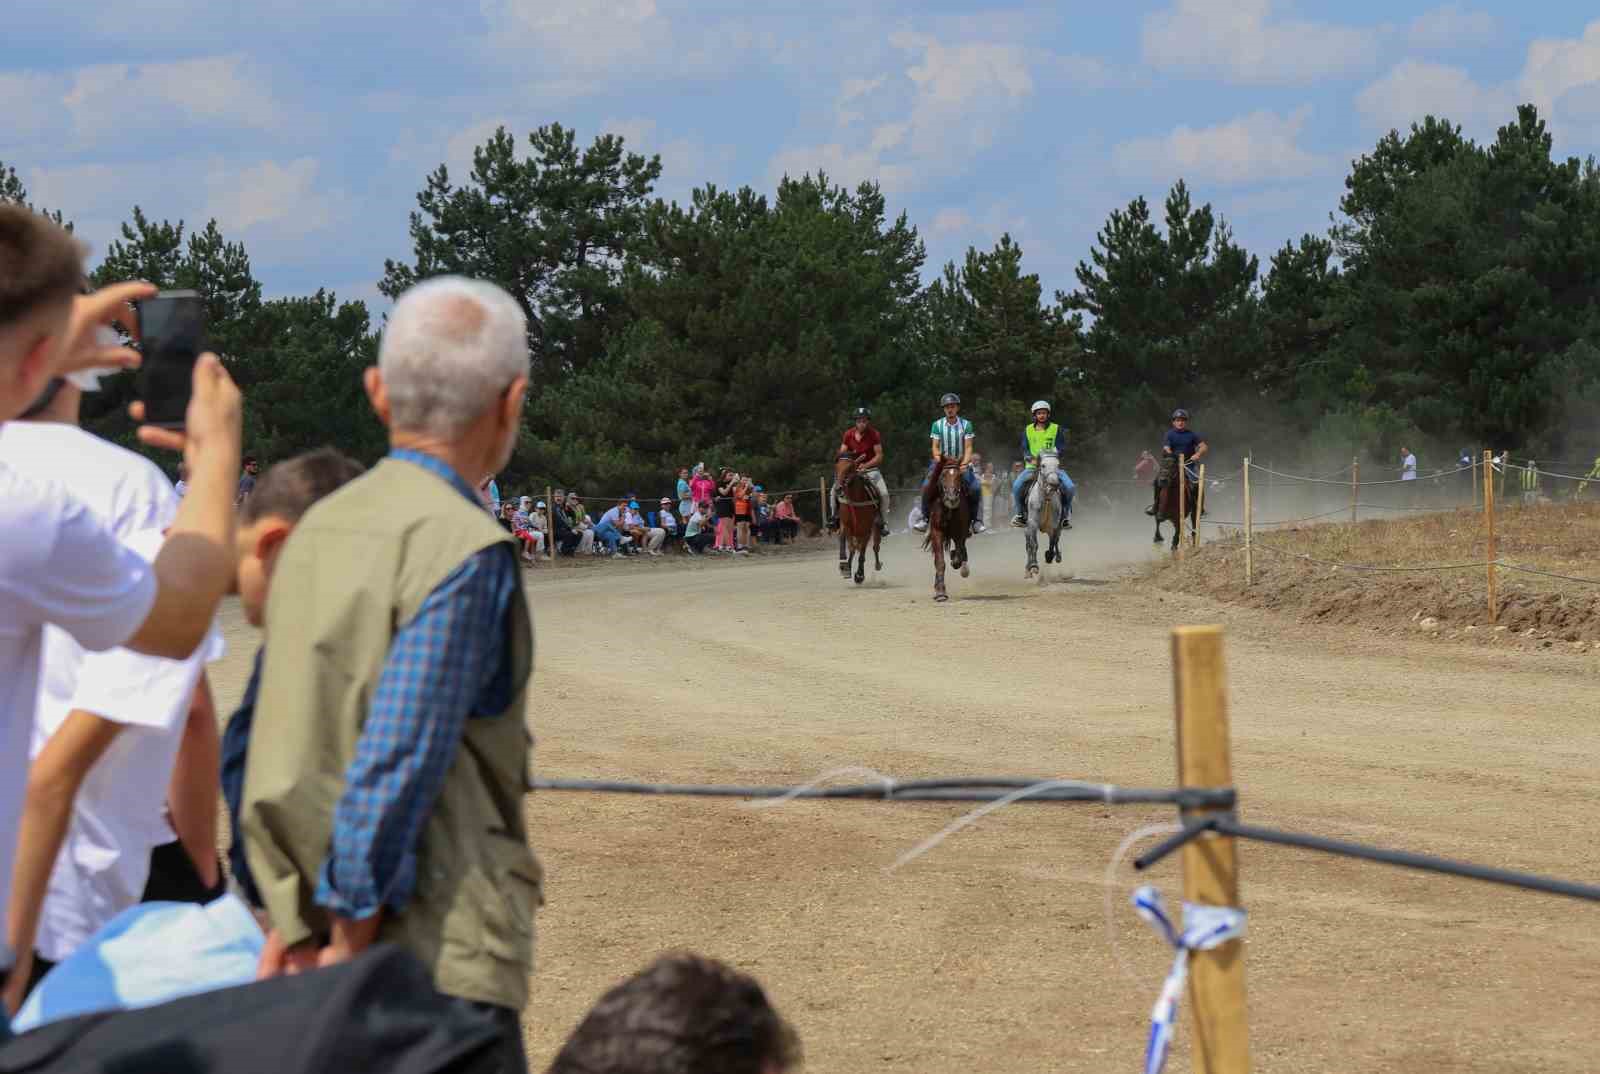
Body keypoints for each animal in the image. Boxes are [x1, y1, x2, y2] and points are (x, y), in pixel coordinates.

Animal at [838, 454, 889, 589]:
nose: (839, 488)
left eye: (850, 468)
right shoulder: (848, 526)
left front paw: (859, 575)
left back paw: (877, 564)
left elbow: (862, 553)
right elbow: (851, 547)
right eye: (836, 467)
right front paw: (846, 568)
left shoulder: (866, 529)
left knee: (875, 547)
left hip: (876, 528)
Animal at [921, 457, 966, 601]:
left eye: (959, 476)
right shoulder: (936, 531)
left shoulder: (960, 532)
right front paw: (940, 592)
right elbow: (940, 561)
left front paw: (955, 559)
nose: (952, 498)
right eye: (943, 475)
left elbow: (958, 556)